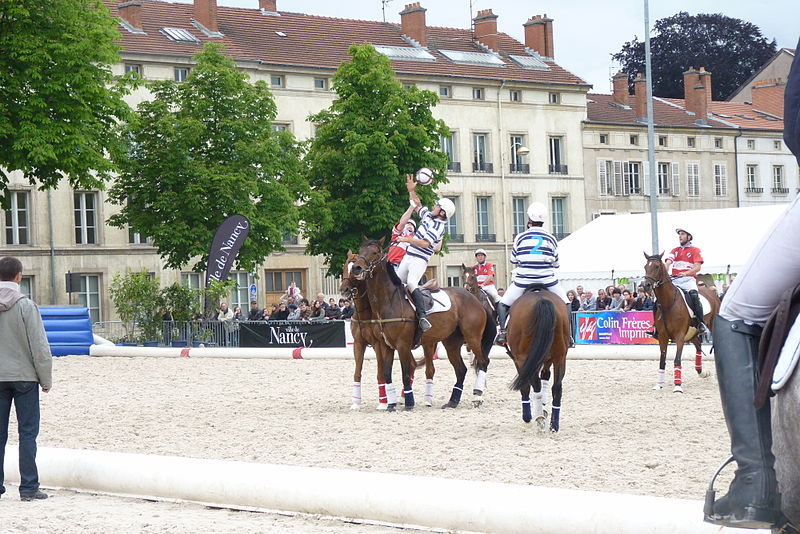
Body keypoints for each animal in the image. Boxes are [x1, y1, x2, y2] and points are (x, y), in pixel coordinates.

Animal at [340, 253, 396, 412]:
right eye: (344, 267)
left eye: (355, 270)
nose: (344, 290)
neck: (366, 314)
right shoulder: (358, 343)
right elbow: (357, 373)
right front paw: (355, 403)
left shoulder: (379, 344)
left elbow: (380, 373)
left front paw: (383, 402)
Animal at [352, 241, 496, 412]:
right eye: (360, 250)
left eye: (374, 252)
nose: (356, 268)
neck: (389, 300)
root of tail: (476, 301)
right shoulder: (386, 345)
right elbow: (387, 374)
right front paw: (391, 405)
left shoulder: (402, 345)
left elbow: (405, 373)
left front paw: (408, 403)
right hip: (451, 342)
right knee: (461, 369)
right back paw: (452, 401)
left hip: (472, 337)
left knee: (482, 362)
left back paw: (477, 396)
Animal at [506, 286, 568, 434]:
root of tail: (541, 299)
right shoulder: (546, 358)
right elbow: (546, 376)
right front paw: (544, 408)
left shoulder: (520, 360)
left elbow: (525, 386)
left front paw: (529, 417)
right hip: (560, 356)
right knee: (557, 387)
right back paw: (554, 425)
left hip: (522, 357)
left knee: (535, 384)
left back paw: (538, 419)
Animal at [640, 253, 720, 396]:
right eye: (645, 266)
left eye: (657, 266)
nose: (646, 286)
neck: (668, 303)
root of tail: (713, 293)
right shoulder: (663, 336)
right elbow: (662, 360)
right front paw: (659, 385)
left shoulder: (680, 336)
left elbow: (677, 359)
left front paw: (677, 386)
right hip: (692, 332)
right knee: (698, 346)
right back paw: (703, 372)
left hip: (710, 326)